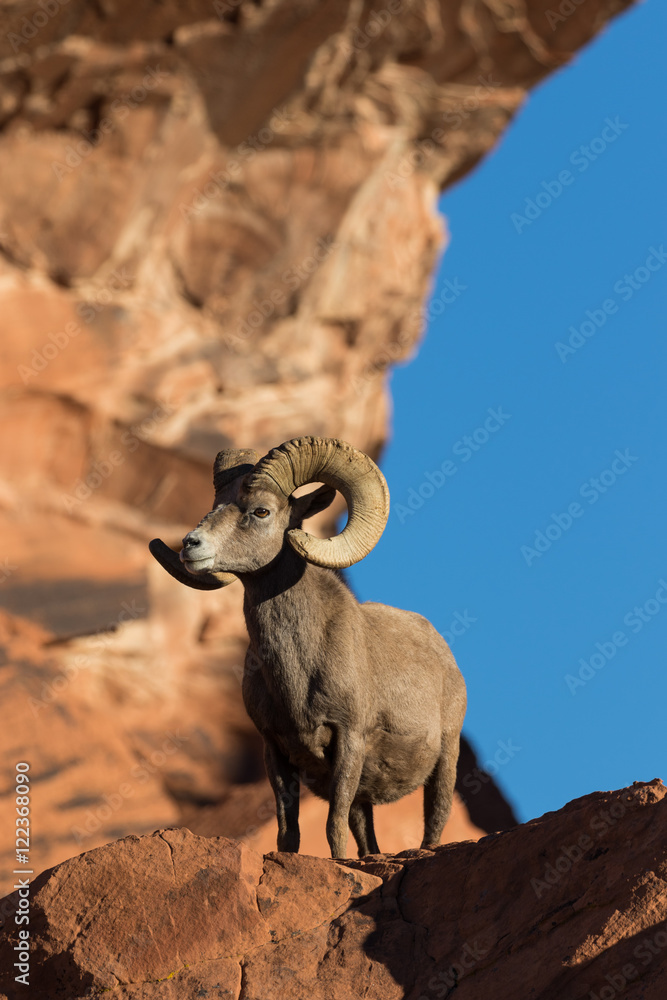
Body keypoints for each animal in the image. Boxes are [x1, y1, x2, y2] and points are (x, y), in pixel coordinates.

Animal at [150, 436, 466, 858]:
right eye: (214, 505)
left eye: (261, 511)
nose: (190, 545)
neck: (298, 673)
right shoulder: (276, 751)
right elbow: (289, 833)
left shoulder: (349, 742)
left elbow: (333, 827)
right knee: (368, 839)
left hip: (445, 760)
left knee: (435, 820)